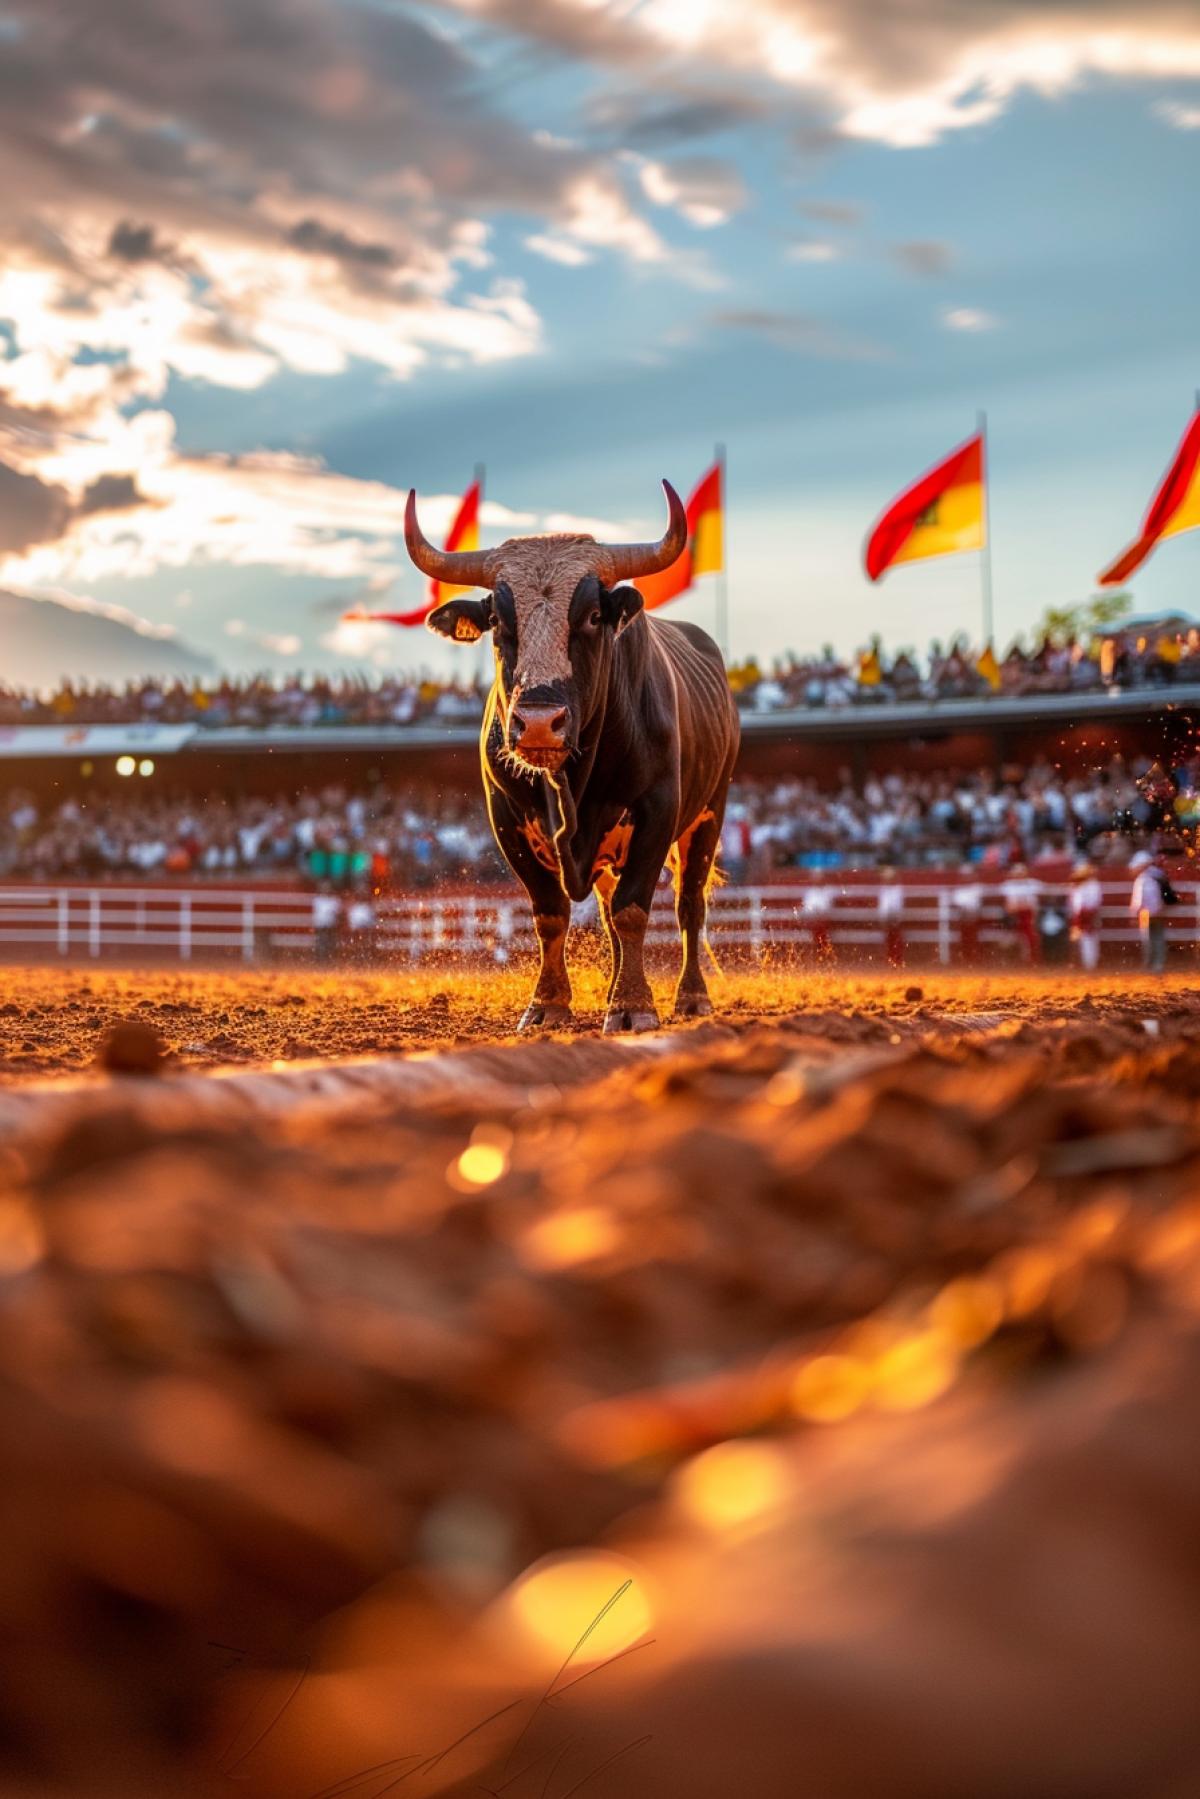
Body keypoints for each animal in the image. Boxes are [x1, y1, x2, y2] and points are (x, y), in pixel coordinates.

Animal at [405, 480, 740, 1034]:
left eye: (592, 616)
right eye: (497, 620)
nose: (539, 722)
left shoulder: (657, 811)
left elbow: (633, 910)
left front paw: (633, 1005)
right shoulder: (506, 819)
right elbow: (551, 913)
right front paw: (549, 1003)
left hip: (708, 816)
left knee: (689, 906)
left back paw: (691, 996)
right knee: (607, 915)